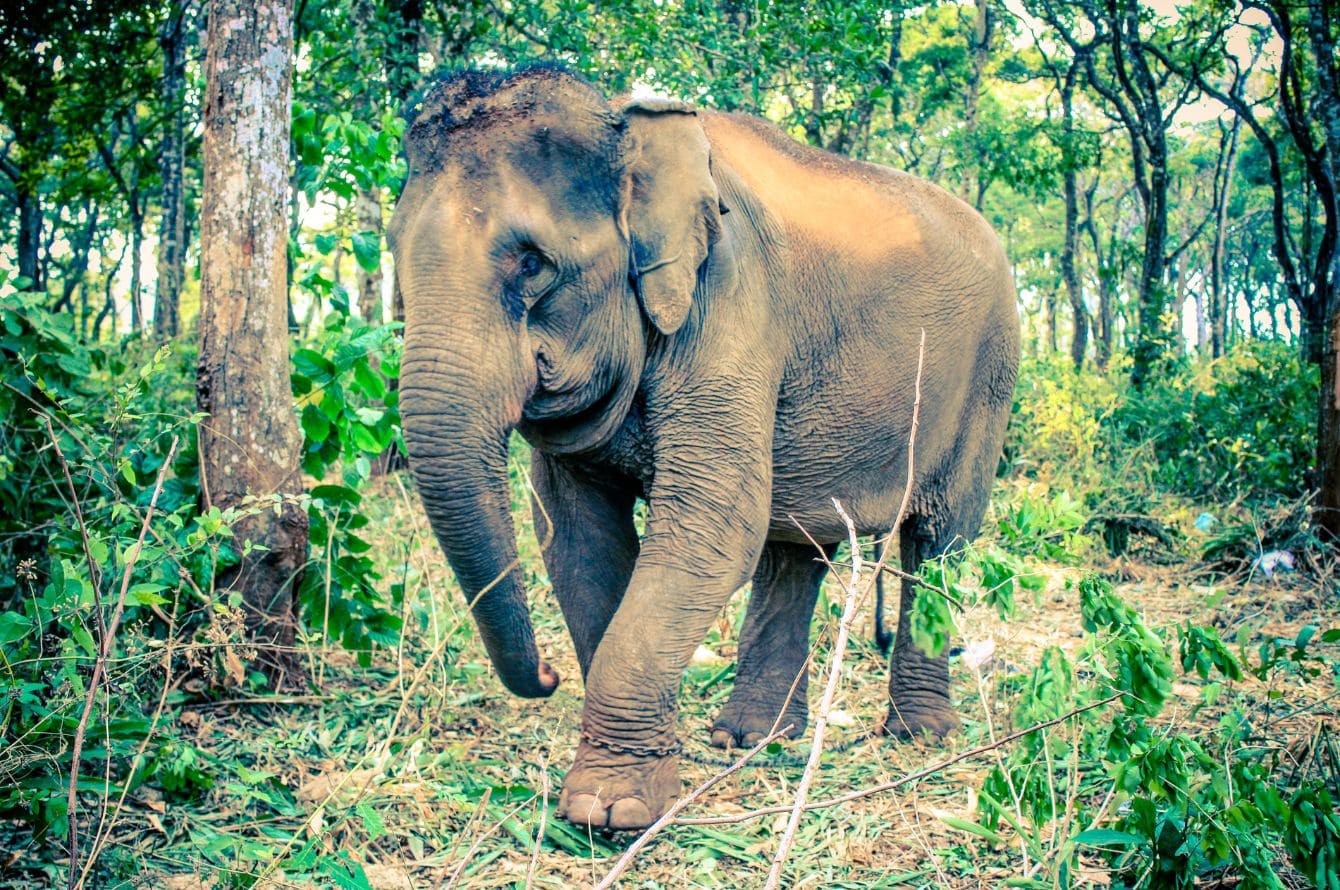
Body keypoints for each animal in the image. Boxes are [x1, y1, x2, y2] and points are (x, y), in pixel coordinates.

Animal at [388, 65, 1020, 831]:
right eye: (393, 256)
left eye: (533, 264)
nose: (546, 674)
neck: (627, 126)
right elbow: (578, 539)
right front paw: (630, 783)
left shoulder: (733, 302)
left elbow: (711, 526)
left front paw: (610, 812)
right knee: (795, 549)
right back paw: (751, 739)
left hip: (989, 377)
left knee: (936, 540)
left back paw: (916, 735)